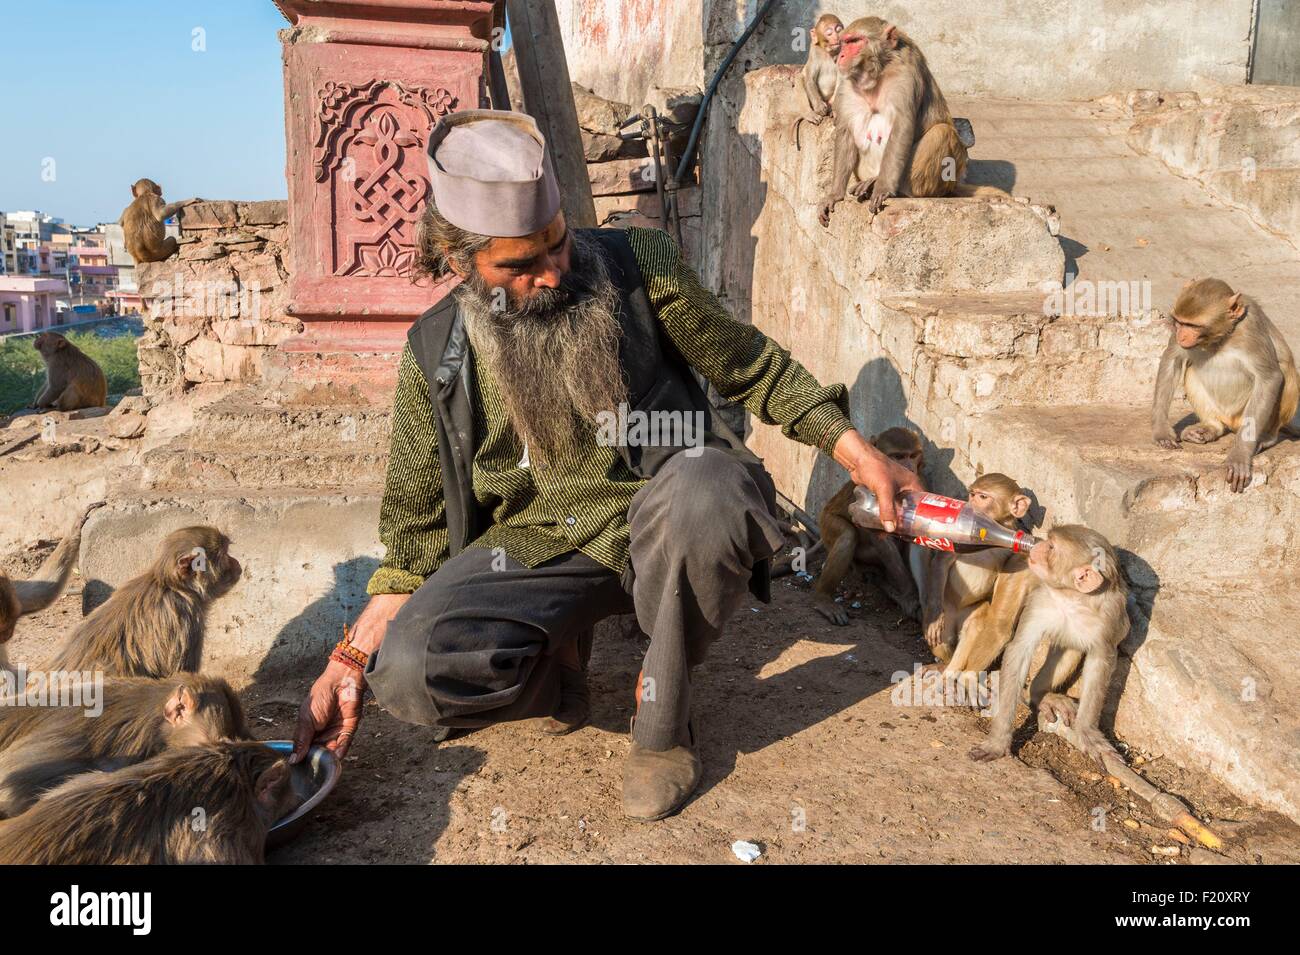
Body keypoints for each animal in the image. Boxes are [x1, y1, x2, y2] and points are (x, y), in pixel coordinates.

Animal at [792, 13, 844, 150]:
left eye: (838, 30)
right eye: (829, 32)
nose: (837, 37)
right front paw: (820, 107)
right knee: (800, 78)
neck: (828, 52)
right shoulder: (814, 51)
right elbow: (809, 78)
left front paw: (835, 111)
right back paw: (809, 113)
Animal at [812, 426, 925, 625]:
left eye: (912, 455)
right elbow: (879, 537)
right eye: (898, 456)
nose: (909, 467)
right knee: (847, 536)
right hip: (826, 521)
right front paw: (910, 595)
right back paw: (823, 599)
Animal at [818, 18, 1003, 227]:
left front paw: (883, 187)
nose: (840, 55)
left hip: (937, 182)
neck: (878, 72)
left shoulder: (905, 77)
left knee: (942, 132)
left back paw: (891, 187)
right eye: (844, 42)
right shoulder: (847, 84)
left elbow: (902, 127)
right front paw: (835, 194)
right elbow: (846, 131)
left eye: (855, 41)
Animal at [969, 525, 1130, 765]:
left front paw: (1087, 732)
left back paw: (1039, 694)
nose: (1037, 544)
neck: (1072, 597)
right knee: (1000, 631)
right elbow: (1020, 649)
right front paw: (997, 742)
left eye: (1052, 547)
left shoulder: (1109, 618)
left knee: (1071, 647)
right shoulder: (1040, 601)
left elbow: (1100, 661)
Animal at [1152, 278, 1299, 493]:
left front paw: (1240, 455)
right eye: (1180, 322)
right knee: (1192, 370)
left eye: (1193, 325)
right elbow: (1172, 359)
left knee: (1285, 372)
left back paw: (1267, 436)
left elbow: (1269, 377)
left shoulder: (1250, 326)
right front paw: (1161, 430)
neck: (1221, 338)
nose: (1181, 336)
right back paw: (1211, 427)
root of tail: (1233, 422)